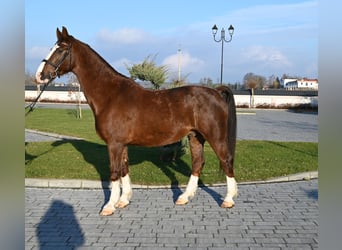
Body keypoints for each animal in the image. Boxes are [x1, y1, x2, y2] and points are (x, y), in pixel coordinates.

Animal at [35, 26, 238, 216]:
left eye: (61, 49)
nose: (39, 76)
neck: (110, 95)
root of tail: (216, 92)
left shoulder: (114, 144)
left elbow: (114, 172)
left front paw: (109, 206)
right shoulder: (122, 144)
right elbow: (124, 169)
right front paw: (124, 200)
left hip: (215, 137)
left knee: (226, 160)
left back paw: (228, 199)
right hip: (195, 136)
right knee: (198, 163)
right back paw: (184, 197)